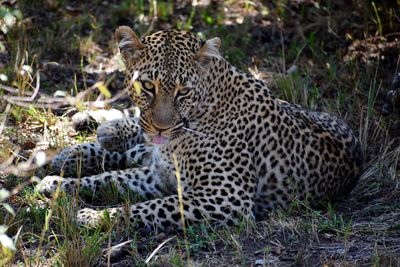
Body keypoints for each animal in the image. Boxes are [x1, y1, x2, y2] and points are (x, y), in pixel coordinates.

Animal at [36, 27, 364, 232]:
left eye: (183, 91)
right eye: (148, 86)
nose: (161, 128)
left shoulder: (223, 197)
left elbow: (147, 206)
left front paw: (92, 215)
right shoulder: (161, 175)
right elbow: (109, 178)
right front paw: (58, 185)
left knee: (133, 151)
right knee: (133, 139)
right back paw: (85, 136)